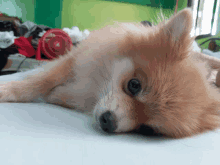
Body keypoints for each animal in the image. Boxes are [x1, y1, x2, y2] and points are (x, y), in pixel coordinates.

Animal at [0, 8, 220, 139]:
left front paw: (56, 96)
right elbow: (40, 81)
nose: (109, 122)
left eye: (146, 129)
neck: (96, 87)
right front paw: (9, 90)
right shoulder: (75, 60)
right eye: (134, 85)